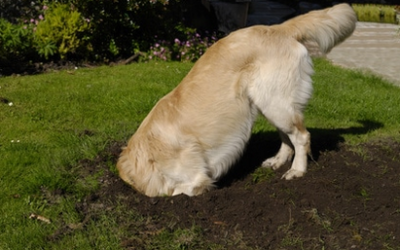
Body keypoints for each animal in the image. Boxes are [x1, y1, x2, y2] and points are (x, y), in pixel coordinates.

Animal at [117, 2, 358, 196]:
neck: (146, 154)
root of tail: (276, 28)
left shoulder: (195, 177)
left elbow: (185, 189)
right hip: (269, 103)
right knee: (287, 137)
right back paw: (278, 161)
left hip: (275, 102)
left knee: (301, 136)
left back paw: (297, 170)